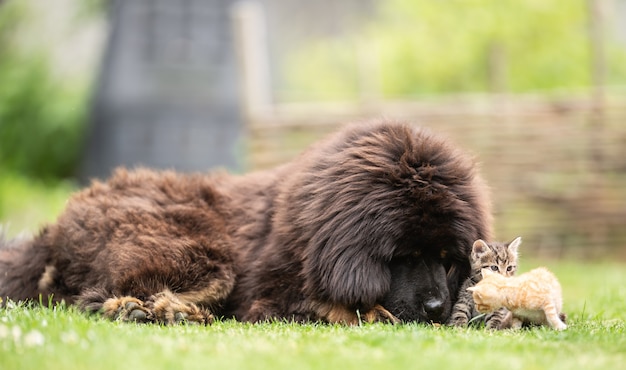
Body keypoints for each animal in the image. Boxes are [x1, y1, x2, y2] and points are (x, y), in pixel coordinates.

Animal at [0, 121, 492, 324]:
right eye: (404, 256)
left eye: (447, 259)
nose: (437, 308)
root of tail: (53, 231)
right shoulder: (266, 295)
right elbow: (322, 306)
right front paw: (368, 310)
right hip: (202, 253)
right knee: (91, 298)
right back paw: (147, 310)